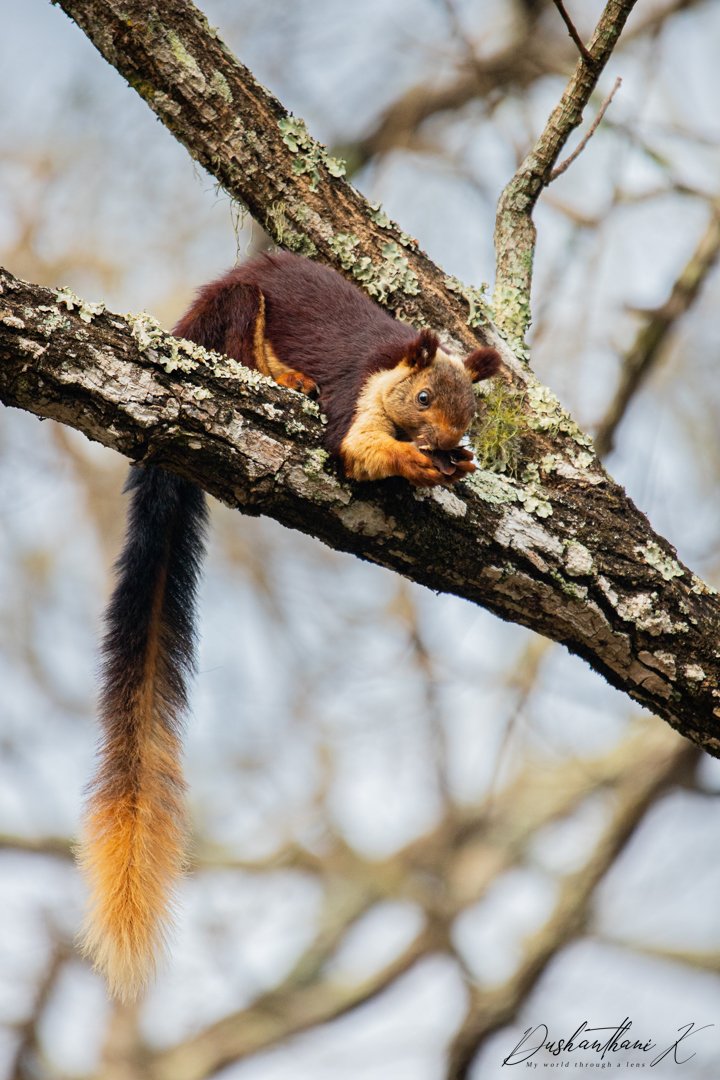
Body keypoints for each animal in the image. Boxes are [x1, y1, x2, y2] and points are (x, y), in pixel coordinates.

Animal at [77, 251, 501, 1001]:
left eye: (473, 409)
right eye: (423, 398)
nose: (450, 443)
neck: (393, 370)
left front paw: (457, 465)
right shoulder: (354, 399)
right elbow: (357, 452)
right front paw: (415, 463)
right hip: (236, 309)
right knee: (240, 342)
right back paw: (283, 376)